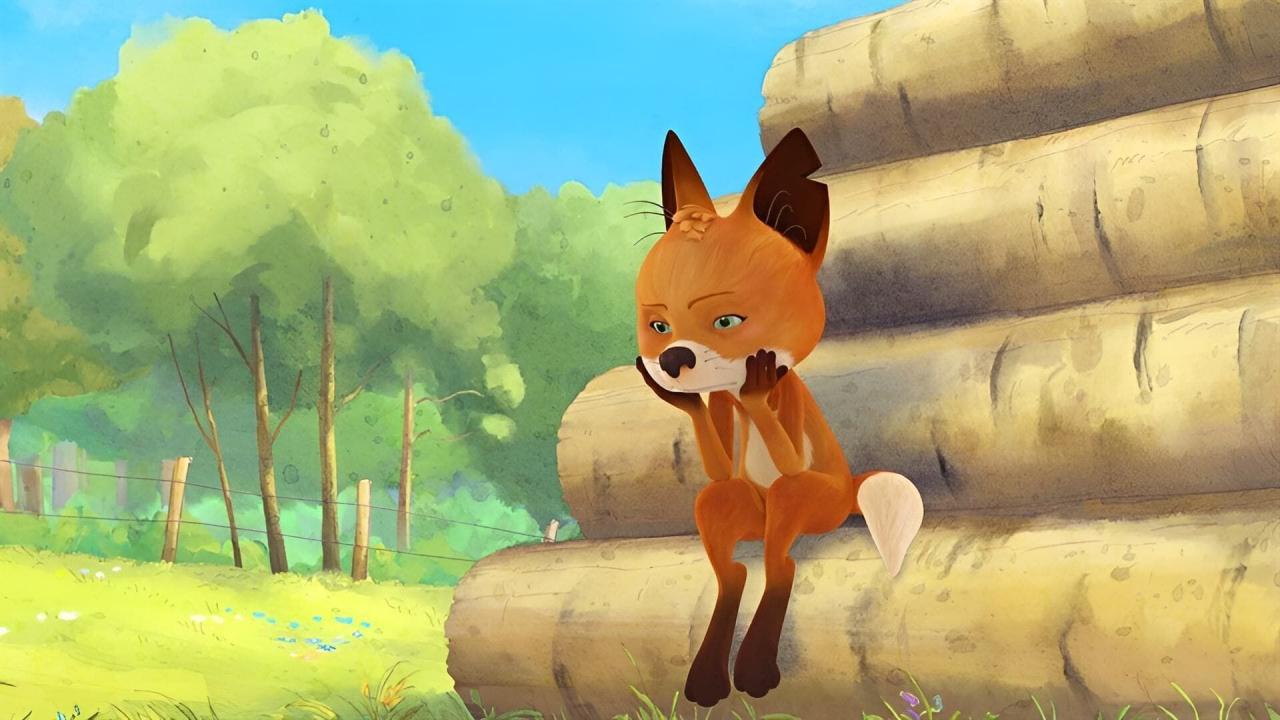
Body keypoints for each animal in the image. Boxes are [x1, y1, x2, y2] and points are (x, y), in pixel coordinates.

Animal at [633, 127, 925, 706]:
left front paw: (758, 383)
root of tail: (850, 486)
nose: (674, 359)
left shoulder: (786, 407)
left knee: (780, 562)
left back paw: (753, 669)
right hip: (733, 506)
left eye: (728, 321)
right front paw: (689, 400)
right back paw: (707, 676)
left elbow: (787, 455)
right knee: (732, 562)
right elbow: (718, 459)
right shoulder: (720, 413)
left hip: (810, 503)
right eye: (658, 326)